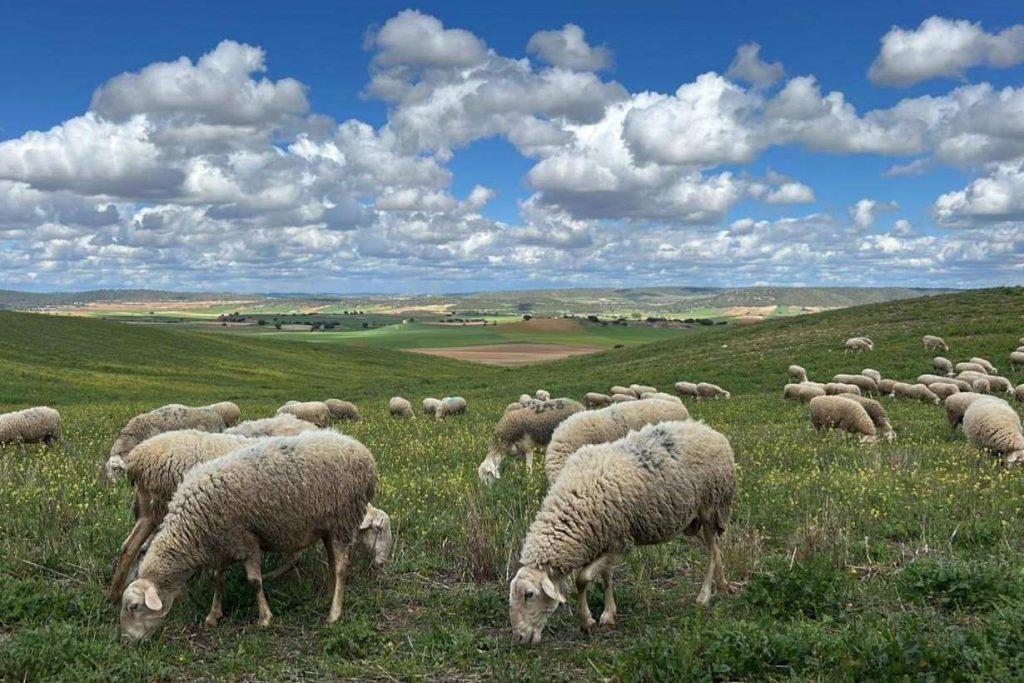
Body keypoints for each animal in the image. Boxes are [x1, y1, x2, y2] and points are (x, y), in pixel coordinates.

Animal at [509, 420, 734, 644]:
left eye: (529, 594)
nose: (519, 638)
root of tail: (708, 429)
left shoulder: (620, 543)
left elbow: (583, 578)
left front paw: (586, 621)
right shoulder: (605, 537)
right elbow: (606, 577)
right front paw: (609, 613)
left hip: (710, 506)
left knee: (712, 550)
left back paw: (704, 595)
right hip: (691, 521)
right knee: (715, 546)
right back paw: (723, 585)